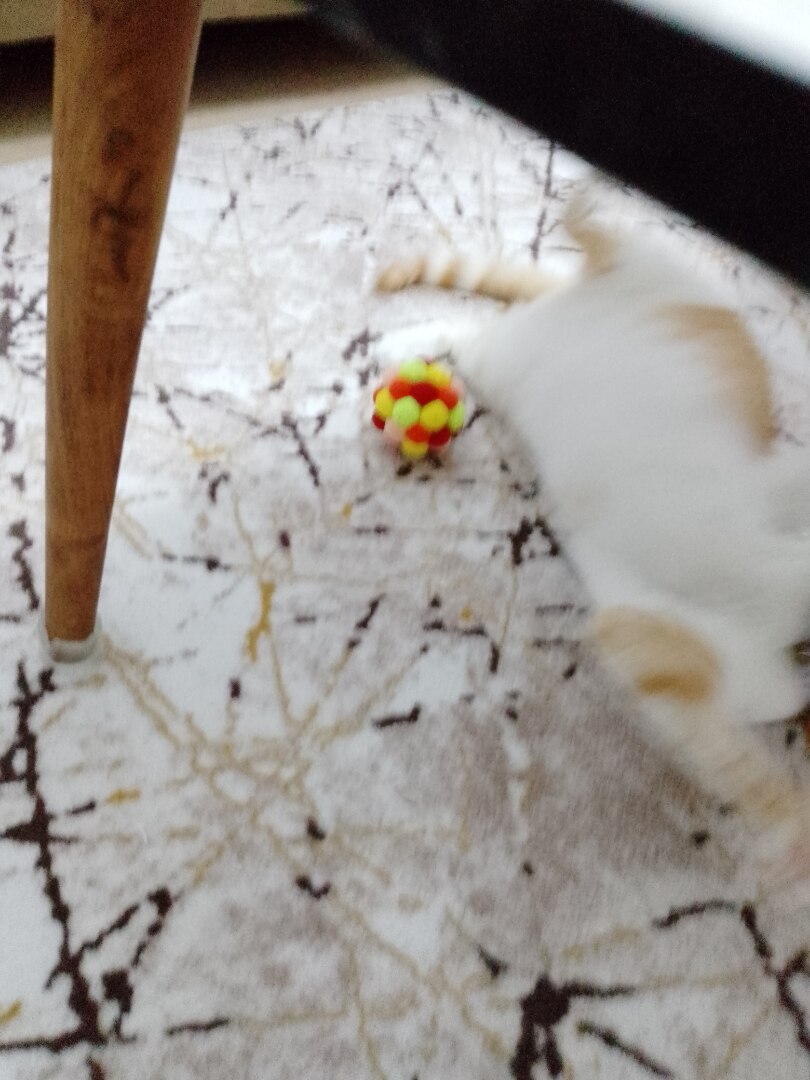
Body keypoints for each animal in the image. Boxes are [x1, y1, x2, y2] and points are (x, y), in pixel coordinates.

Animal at [375, 192, 810, 897]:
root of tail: (575, 302)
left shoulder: (685, 657)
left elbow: (727, 751)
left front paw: (786, 844)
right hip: (655, 292)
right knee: (626, 250)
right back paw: (582, 214)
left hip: (512, 362)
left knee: (473, 333)